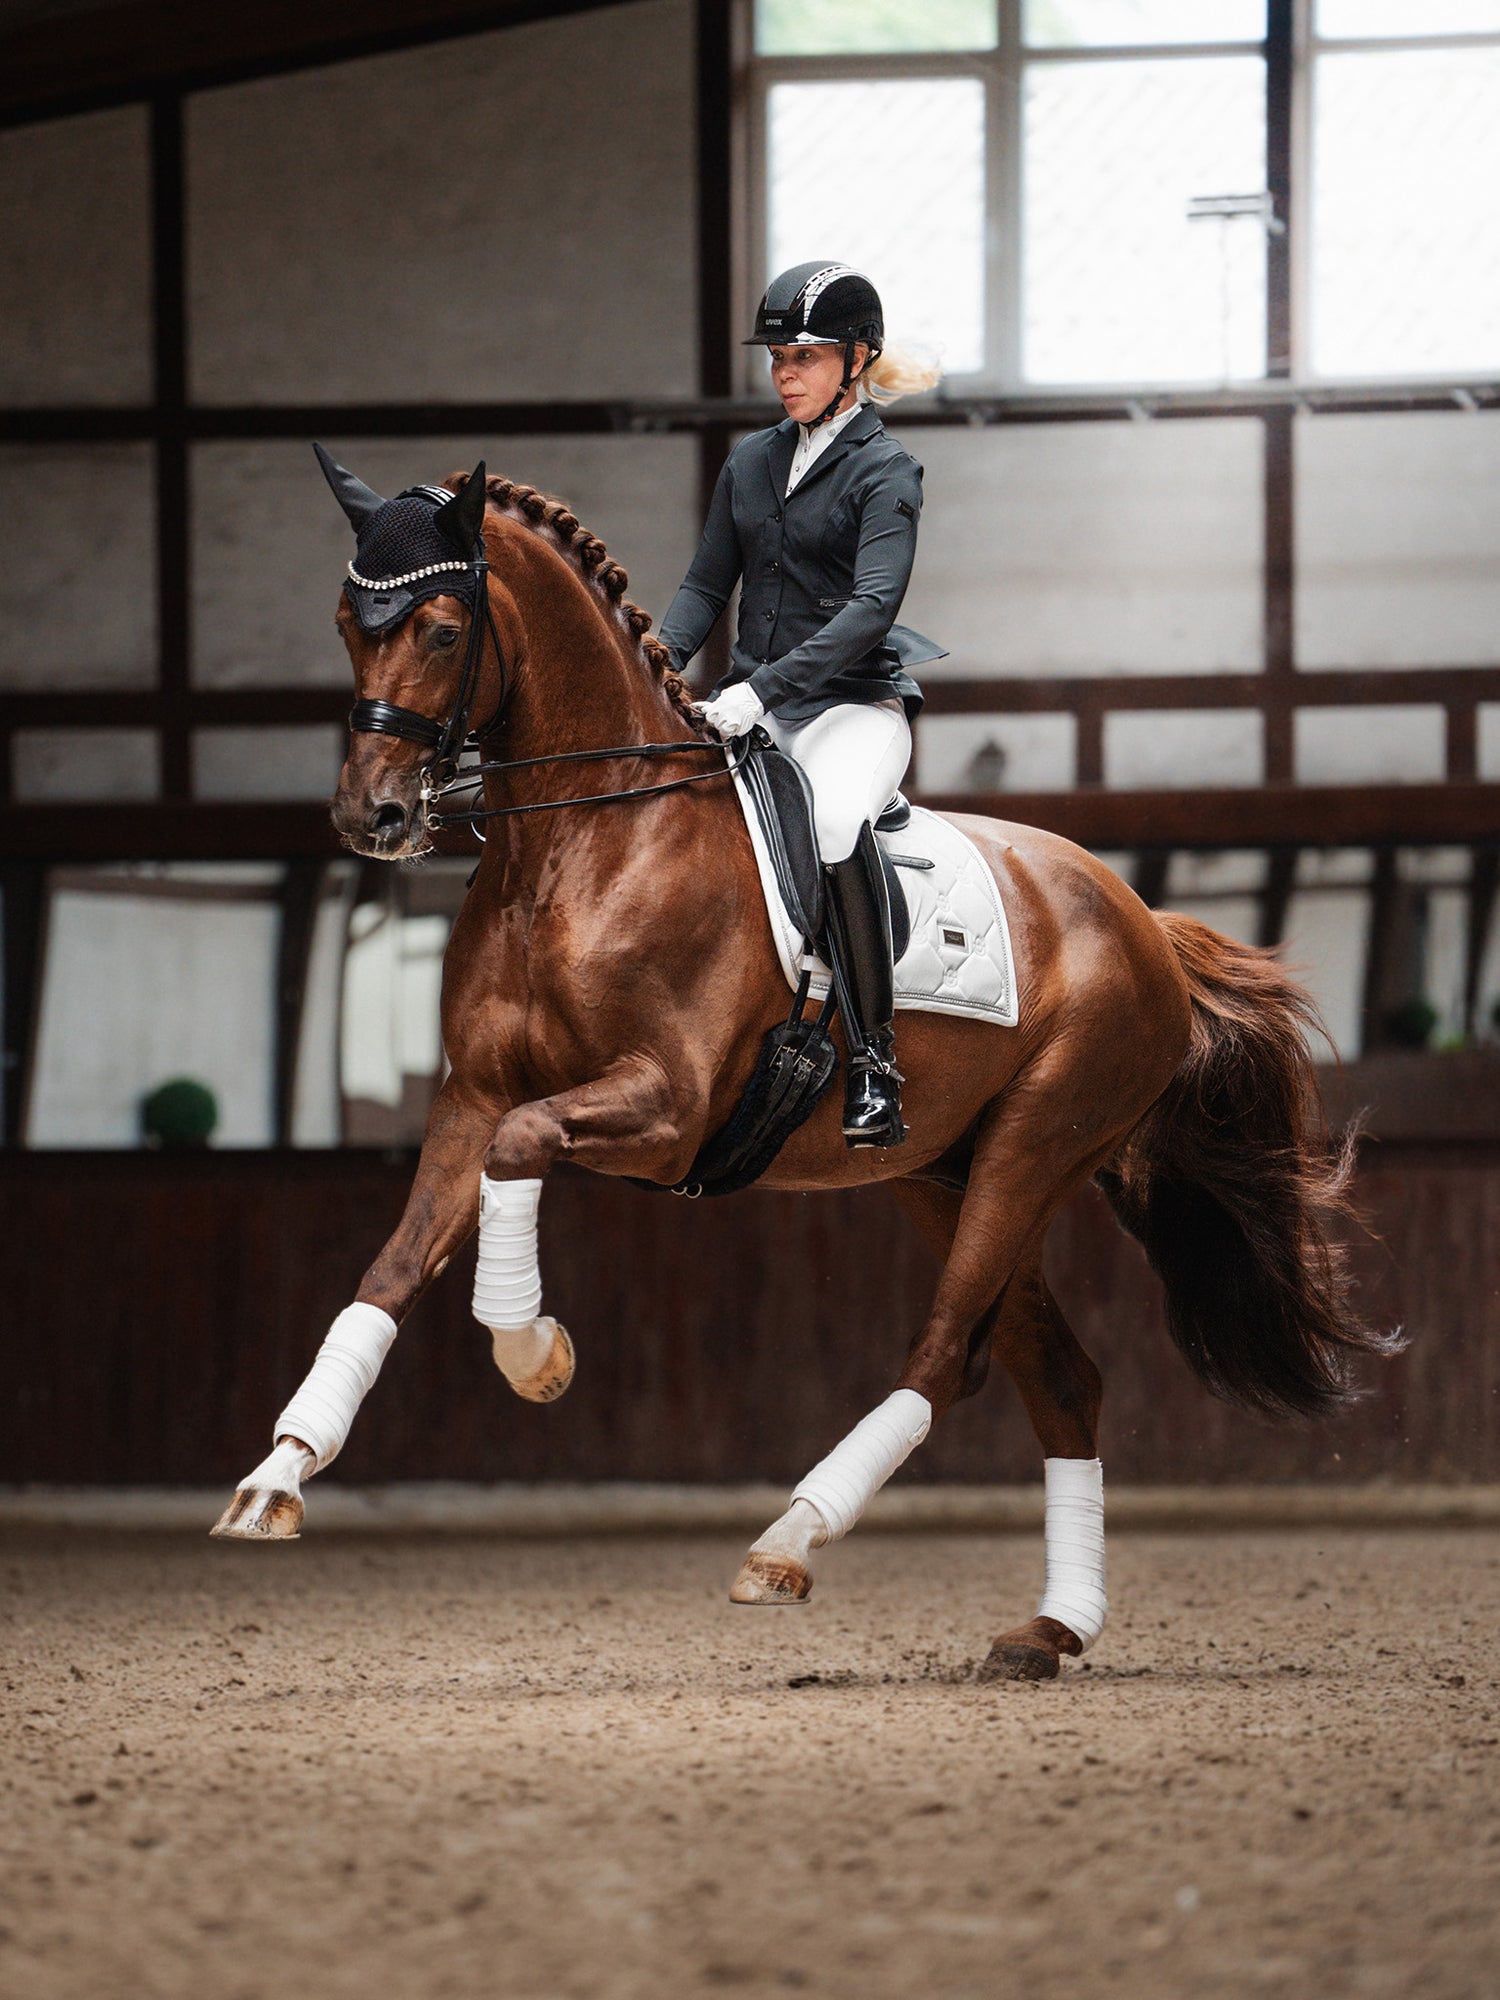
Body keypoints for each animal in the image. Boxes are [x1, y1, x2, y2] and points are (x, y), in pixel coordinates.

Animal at [217, 464, 1408, 1672]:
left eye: (444, 628)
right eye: (344, 624)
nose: (372, 814)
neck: (583, 846)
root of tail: (1142, 921)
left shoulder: (669, 1110)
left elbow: (527, 1146)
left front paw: (533, 1351)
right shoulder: (472, 1097)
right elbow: (389, 1272)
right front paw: (276, 1477)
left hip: (1034, 1150)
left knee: (947, 1353)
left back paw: (788, 1541)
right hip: (945, 1174)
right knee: (1060, 1376)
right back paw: (1049, 1628)